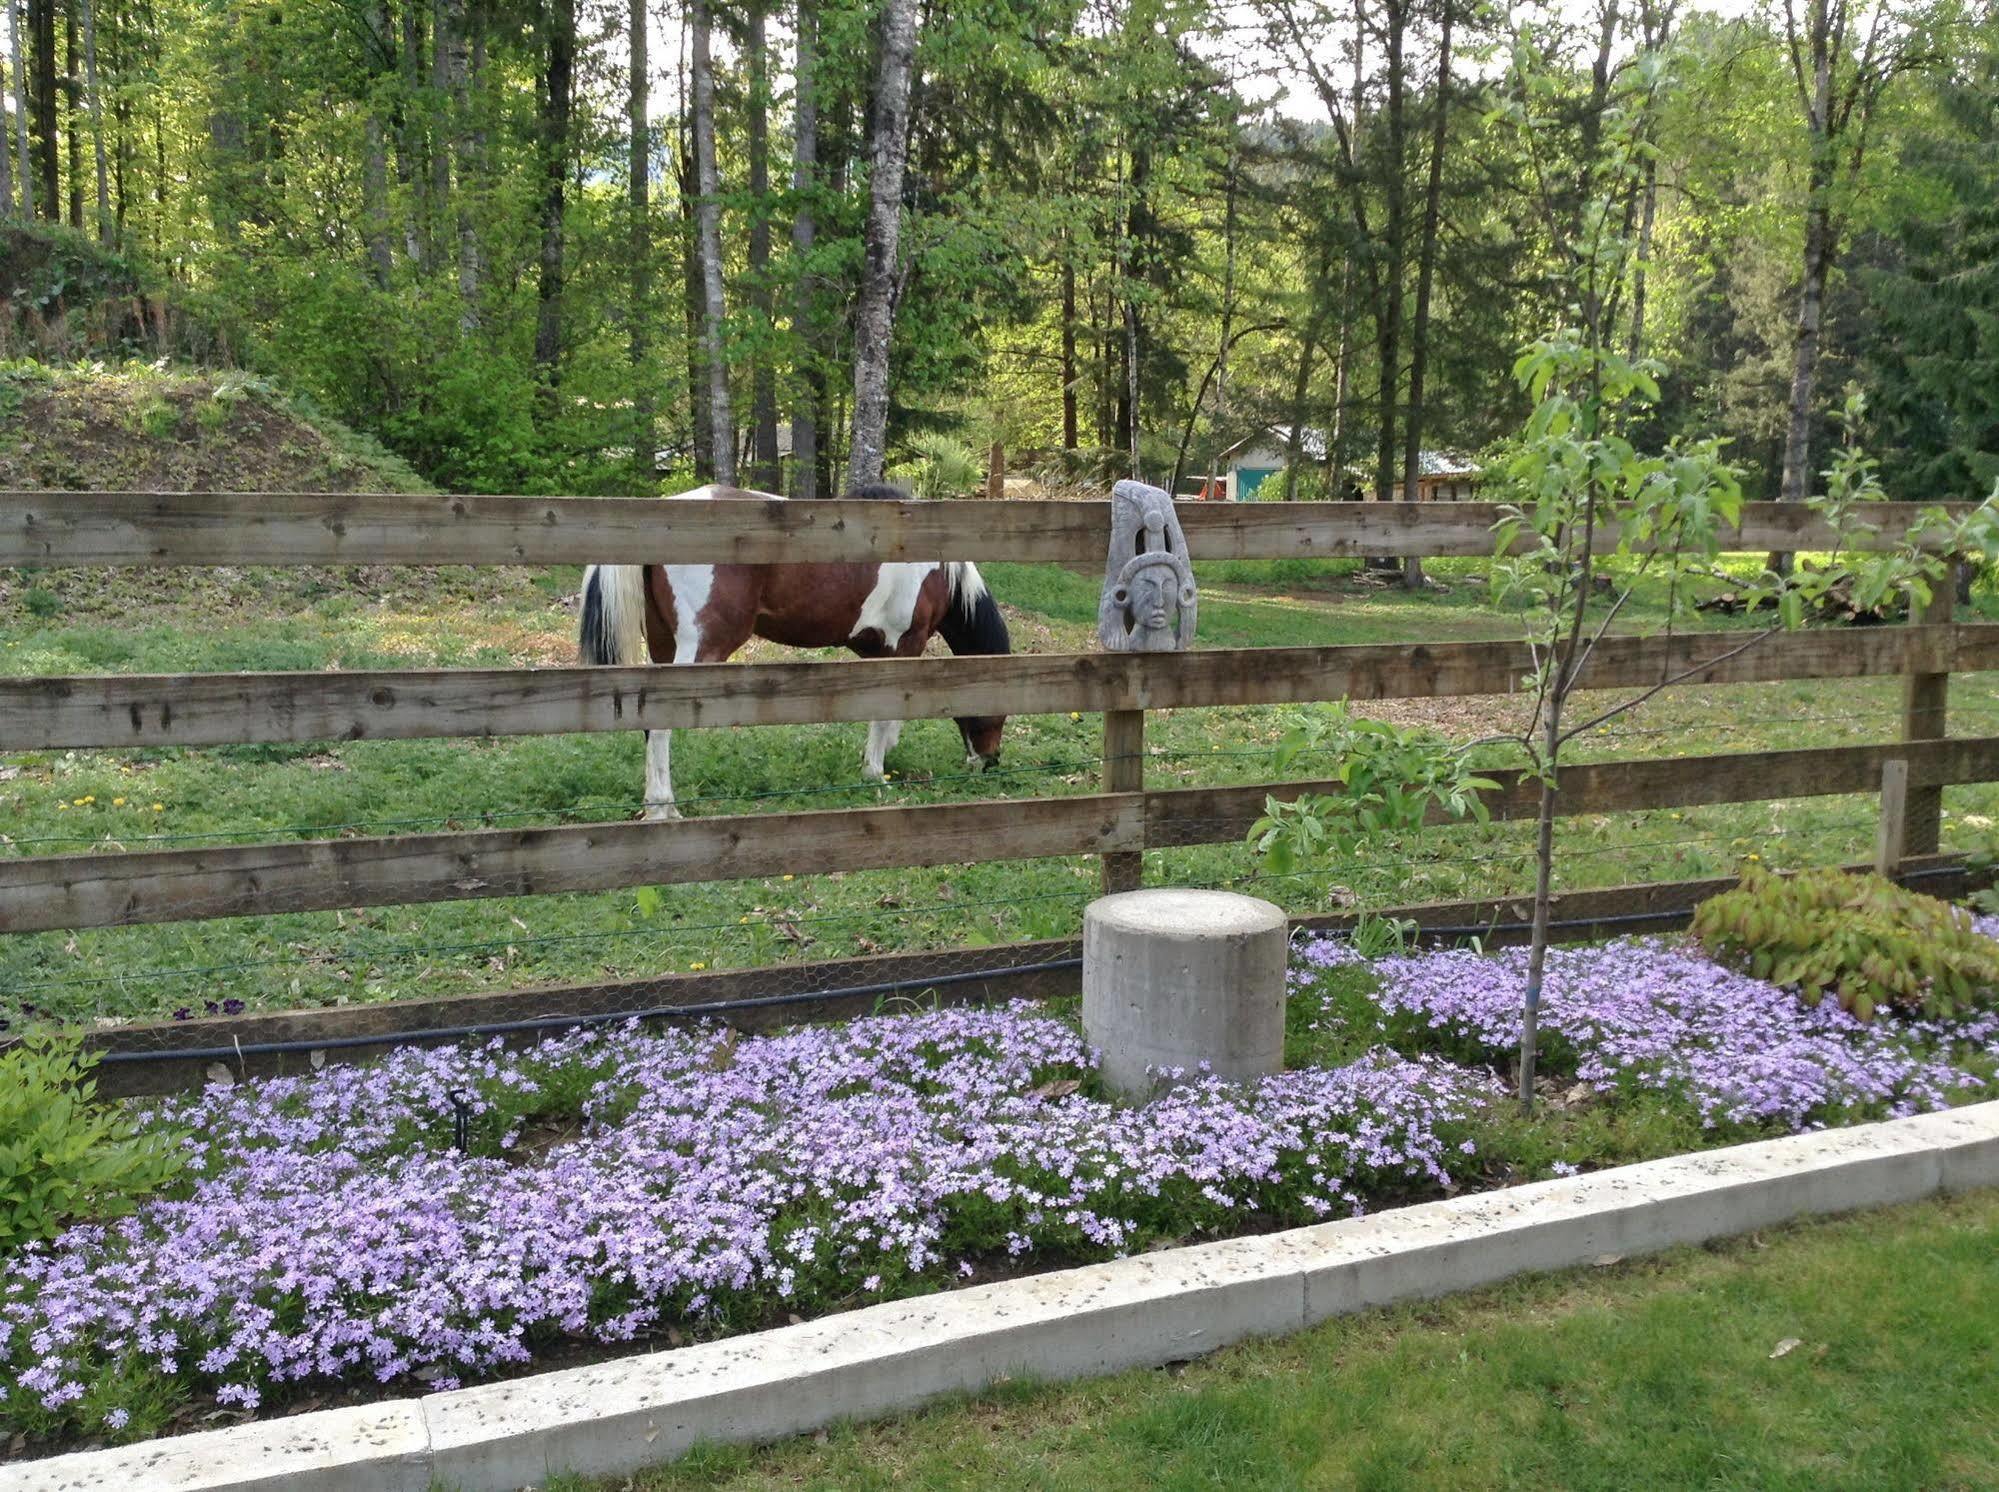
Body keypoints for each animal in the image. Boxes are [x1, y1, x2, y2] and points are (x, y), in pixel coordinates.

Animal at [579, 486, 1015, 812]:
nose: (988, 762)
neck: (934, 567)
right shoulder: (904, 643)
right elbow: (885, 711)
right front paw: (875, 774)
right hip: (697, 652)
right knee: (661, 723)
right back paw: (663, 807)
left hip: (662, 647)